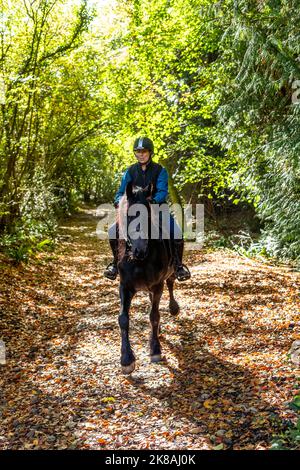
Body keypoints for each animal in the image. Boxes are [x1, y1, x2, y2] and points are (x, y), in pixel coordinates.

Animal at [116, 181, 179, 374]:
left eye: (148, 215)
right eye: (128, 215)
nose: (139, 250)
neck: (139, 261)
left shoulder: (158, 285)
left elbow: (154, 315)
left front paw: (155, 349)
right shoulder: (125, 286)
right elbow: (123, 319)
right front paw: (126, 359)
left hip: (170, 274)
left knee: (171, 285)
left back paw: (173, 308)